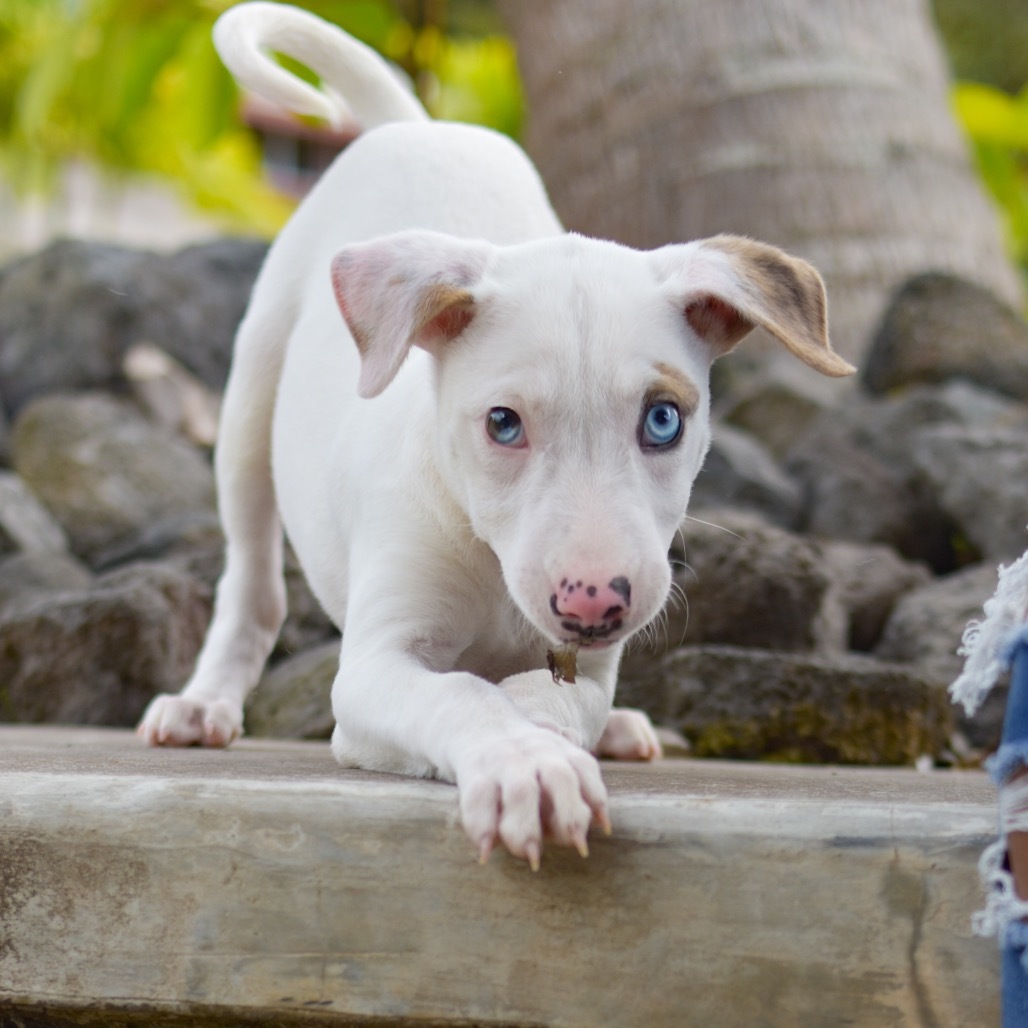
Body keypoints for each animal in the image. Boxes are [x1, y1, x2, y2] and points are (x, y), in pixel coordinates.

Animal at [138, 4, 859, 863]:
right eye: (503, 424)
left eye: (663, 419)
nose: (592, 604)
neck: (488, 557)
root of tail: (423, 126)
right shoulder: (373, 668)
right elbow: (459, 695)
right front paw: (525, 766)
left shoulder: (590, 664)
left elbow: (553, 695)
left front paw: (556, 728)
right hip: (249, 410)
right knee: (251, 583)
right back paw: (202, 702)